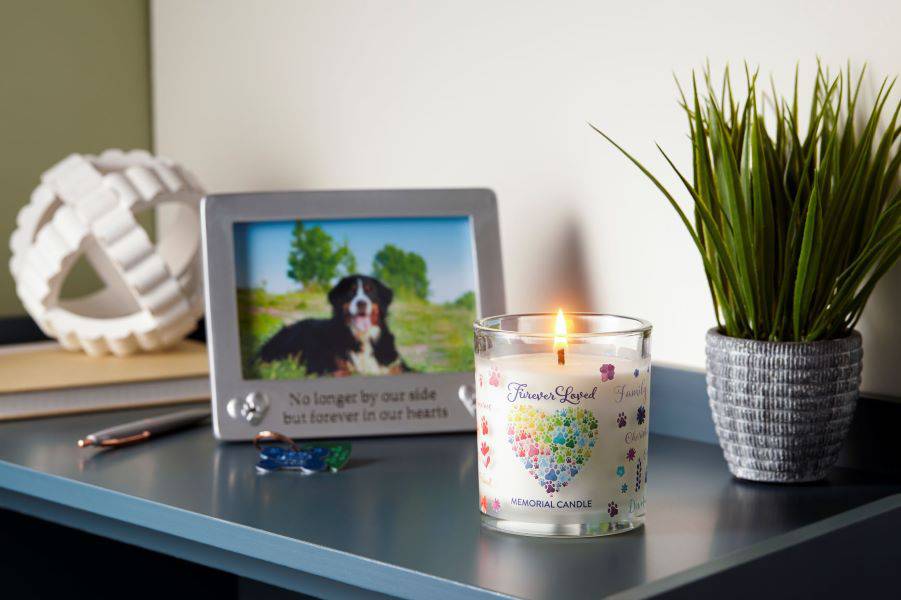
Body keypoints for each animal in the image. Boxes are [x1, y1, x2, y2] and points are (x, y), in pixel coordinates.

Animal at [258, 276, 410, 376]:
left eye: (370, 291)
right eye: (351, 292)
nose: (361, 303)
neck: (362, 337)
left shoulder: (396, 365)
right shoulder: (326, 366)